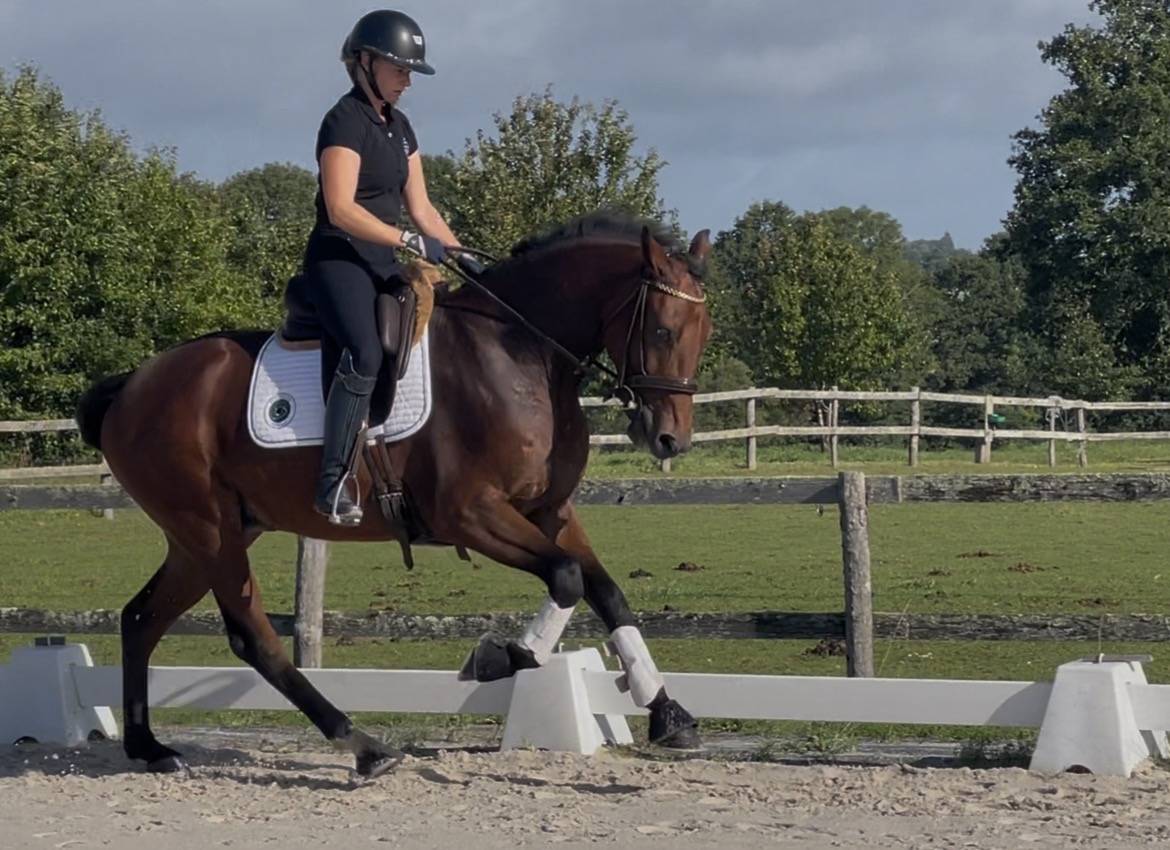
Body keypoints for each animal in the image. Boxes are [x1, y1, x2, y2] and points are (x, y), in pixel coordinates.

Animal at [75, 212, 714, 777]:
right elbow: (567, 577)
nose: (669, 438)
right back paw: (364, 746)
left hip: (204, 536)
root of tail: (131, 385)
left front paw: (666, 712)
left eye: (703, 335)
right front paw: (504, 657)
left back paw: (151, 748)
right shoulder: (468, 512)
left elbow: (606, 592)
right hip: (210, 531)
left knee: (141, 618)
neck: (519, 354)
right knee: (251, 637)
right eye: (662, 330)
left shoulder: (548, 509)